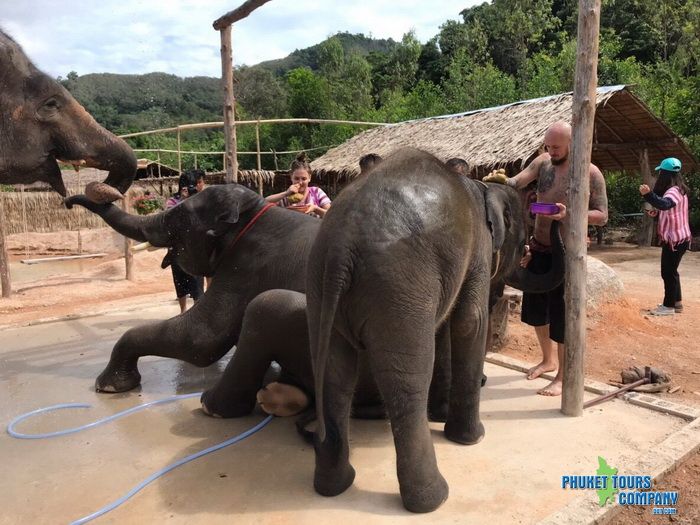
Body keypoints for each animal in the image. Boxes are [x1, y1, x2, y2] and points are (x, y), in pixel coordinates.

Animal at [64, 185, 322, 392]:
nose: (67, 202)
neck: (252, 210)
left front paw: (108, 386)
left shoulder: (244, 267)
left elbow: (200, 339)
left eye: (175, 218)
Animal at [306, 147, 564, 512]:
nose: (558, 214)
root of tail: (342, 248)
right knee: (407, 382)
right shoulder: (477, 250)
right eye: (523, 246)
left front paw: (441, 417)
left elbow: (445, 327)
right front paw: (471, 438)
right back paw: (433, 499)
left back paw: (335, 486)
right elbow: (470, 322)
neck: (483, 187)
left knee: (334, 377)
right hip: (397, 288)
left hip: (320, 285)